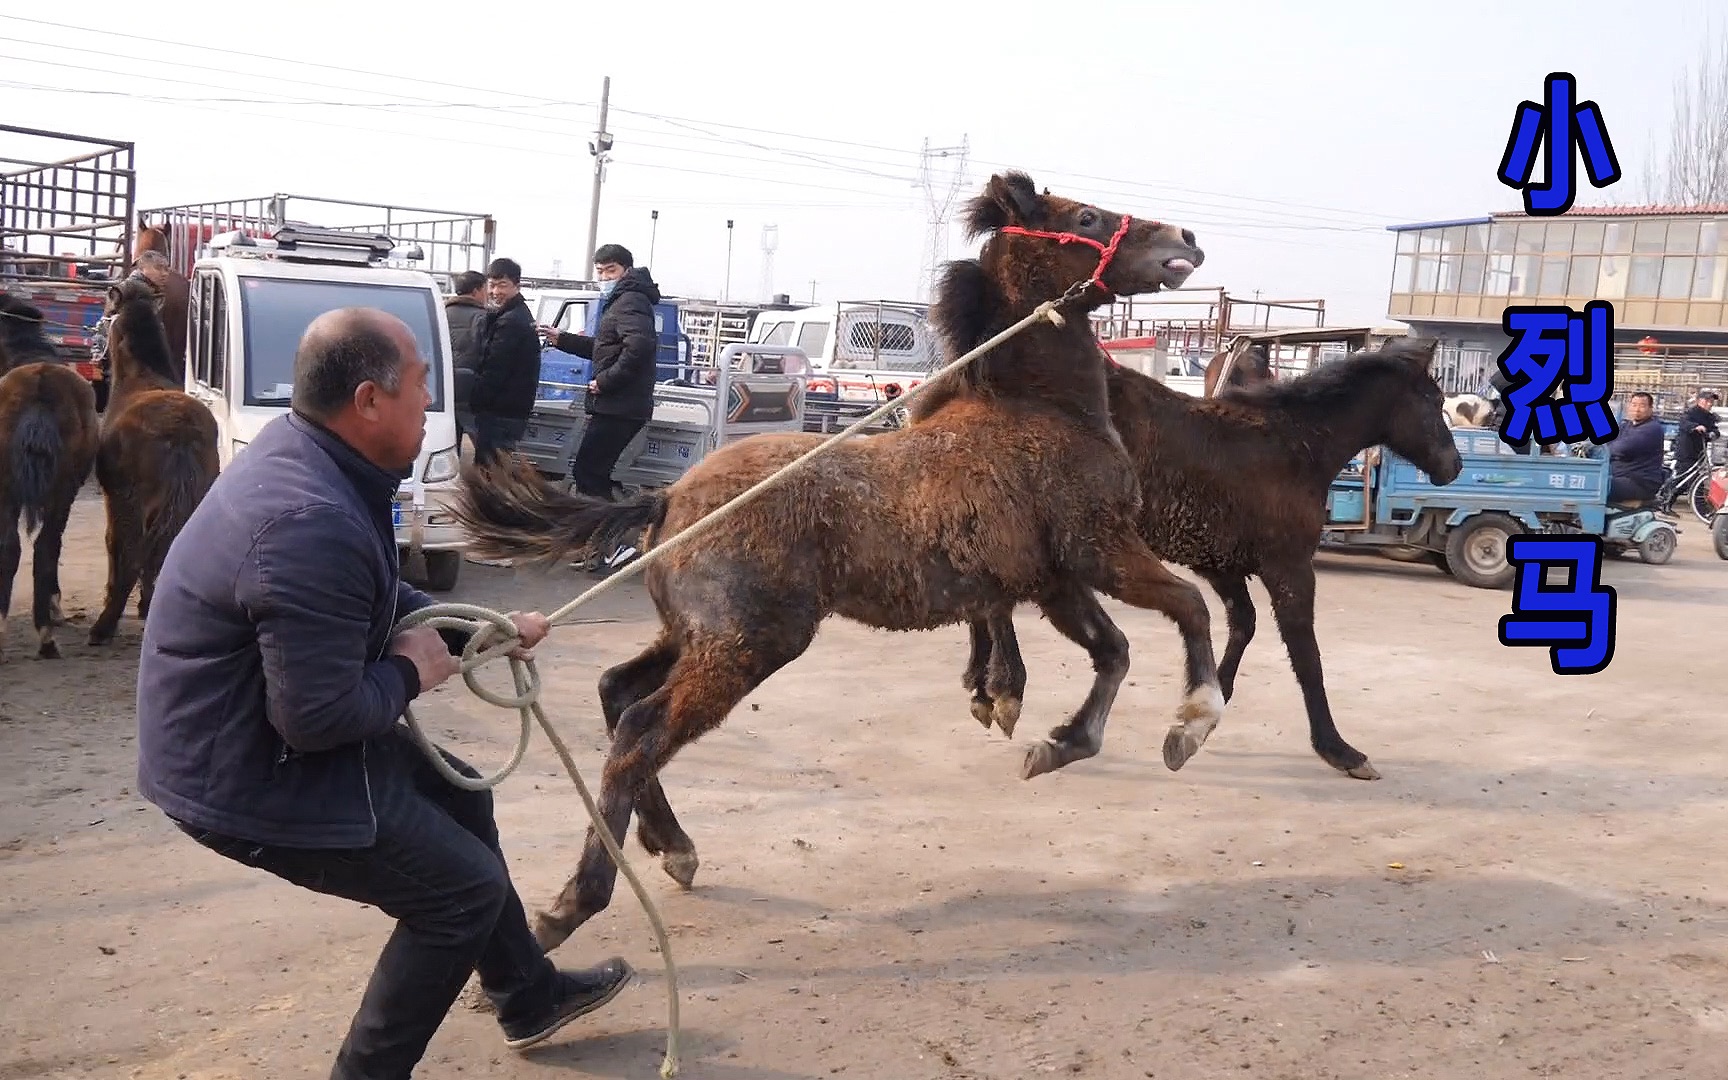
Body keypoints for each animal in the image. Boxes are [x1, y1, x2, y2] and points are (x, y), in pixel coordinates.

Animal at [452, 170, 1223, 953]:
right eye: (1087, 217)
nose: (1185, 239)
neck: (1041, 411)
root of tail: (667, 499)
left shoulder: (1054, 580)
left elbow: (1113, 651)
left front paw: (1058, 740)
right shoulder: (1101, 552)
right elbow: (1186, 608)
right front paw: (1187, 724)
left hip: (697, 633)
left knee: (617, 693)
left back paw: (673, 846)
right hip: (750, 642)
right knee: (641, 730)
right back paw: (574, 902)